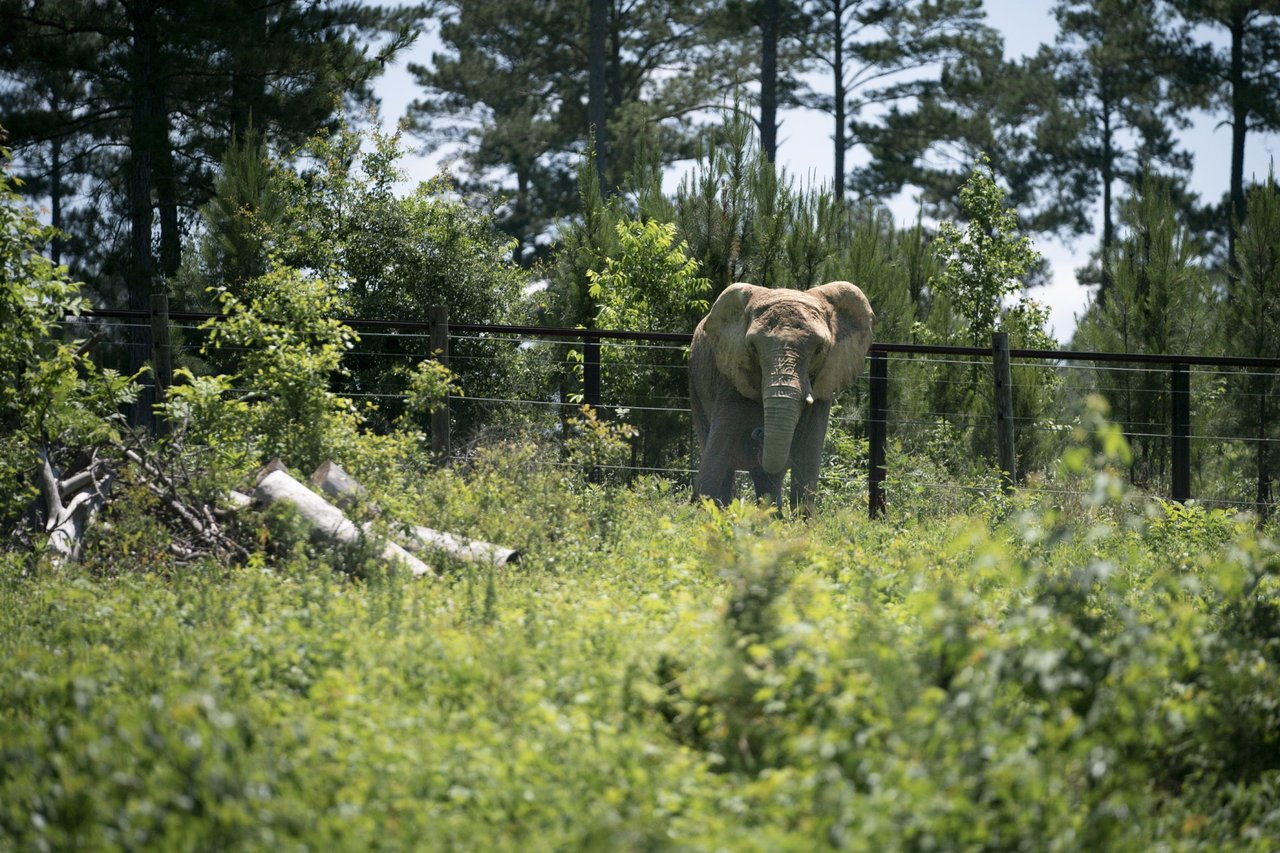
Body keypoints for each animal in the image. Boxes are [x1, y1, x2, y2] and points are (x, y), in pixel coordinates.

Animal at [691, 281, 880, 514]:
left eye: (819, 349)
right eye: (752, 347)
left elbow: (808, 454)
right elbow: (717, 452)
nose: (759, 431)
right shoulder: (729, 373)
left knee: (768, 476)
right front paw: (704, 515)